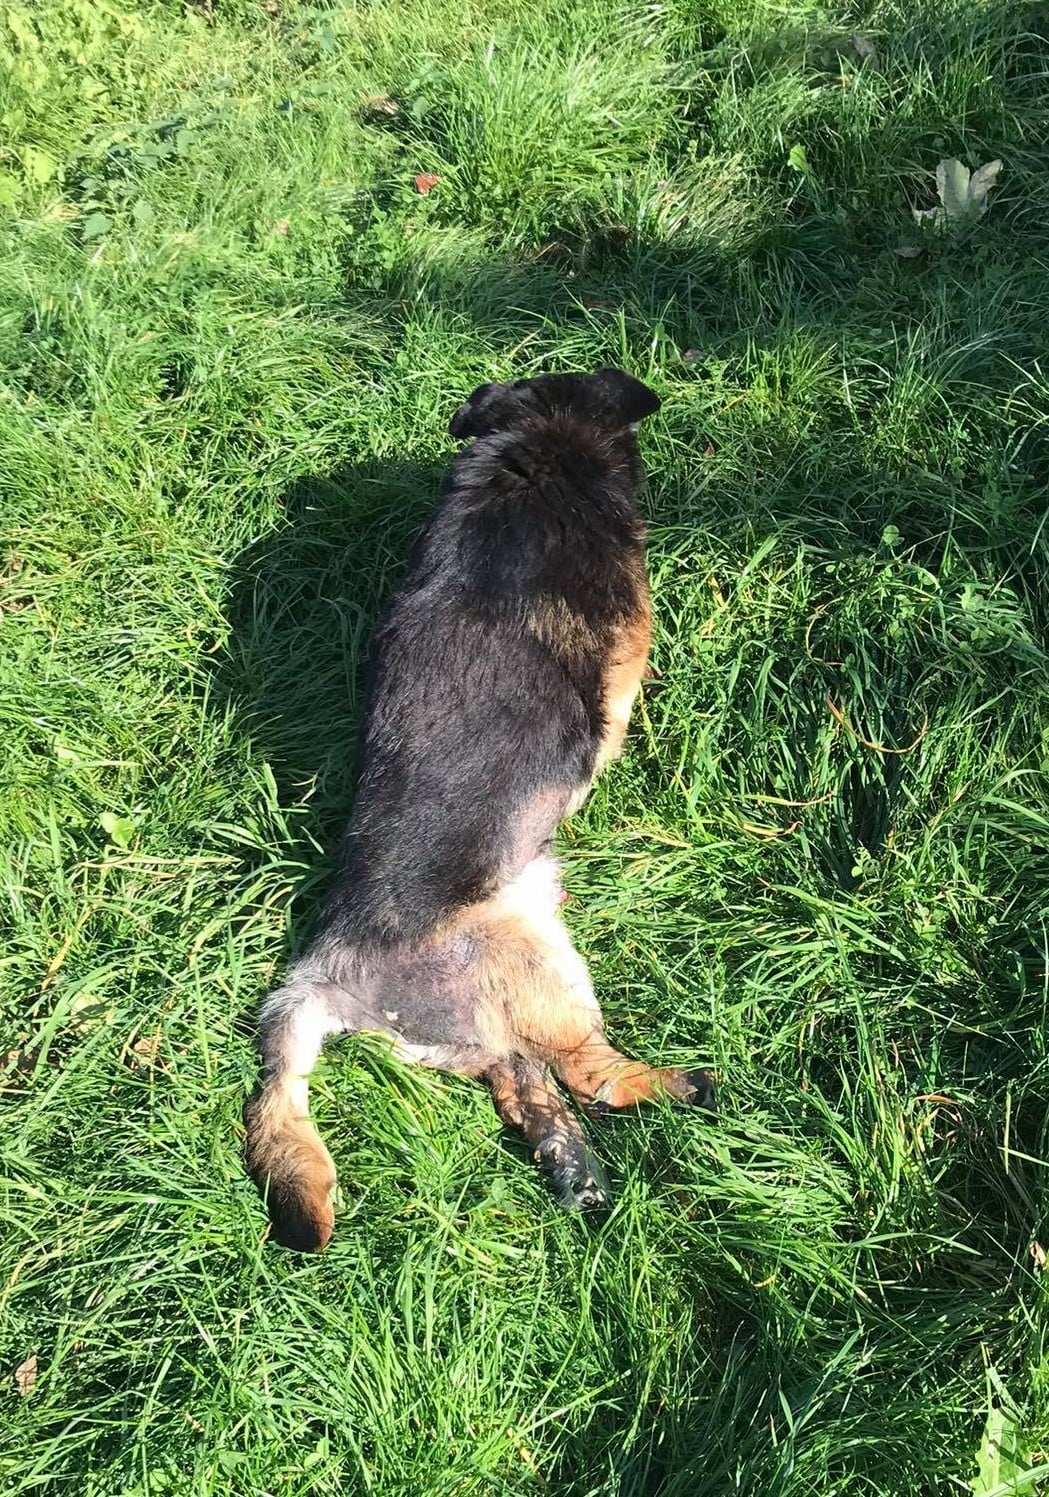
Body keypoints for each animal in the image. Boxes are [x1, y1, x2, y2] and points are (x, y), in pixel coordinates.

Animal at [243, 368, 714, 1251]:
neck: (531, 453)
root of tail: (323, 972)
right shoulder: (625, 656)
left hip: (470, 1033)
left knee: (520, 1082)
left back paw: (572, 1163)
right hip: (537, 967)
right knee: (583, 1070)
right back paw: (676, 1085)